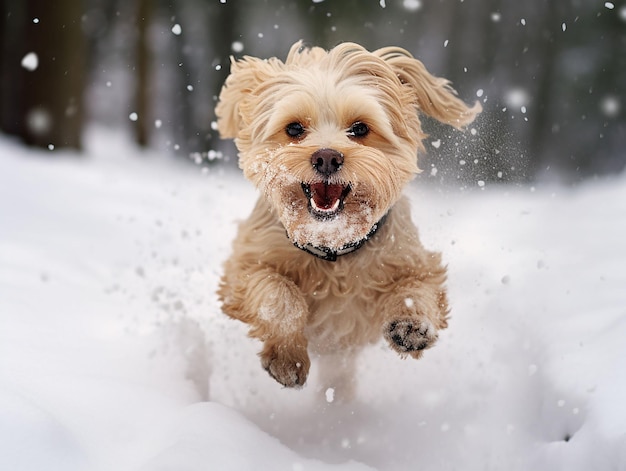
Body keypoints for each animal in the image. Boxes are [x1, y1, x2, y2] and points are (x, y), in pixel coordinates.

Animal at [214, 41, 478, 398]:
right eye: (294, 128)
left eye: (360, 128)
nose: (327, 156)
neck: (332, 246)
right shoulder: (243, 269)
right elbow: (279, 294)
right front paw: (287, 358)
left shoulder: (414, 260)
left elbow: (416, 287)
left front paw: (411, 324)